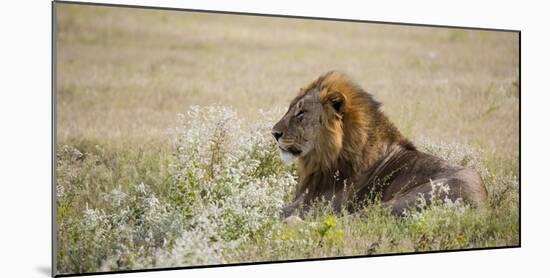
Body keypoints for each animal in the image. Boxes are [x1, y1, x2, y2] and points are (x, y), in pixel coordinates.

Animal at [274, 70, 490, 216]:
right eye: (290, 108)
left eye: (301, 112)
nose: (274, 133)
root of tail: (483, 202)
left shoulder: (322, 204)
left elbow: (278, 210)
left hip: (402, 200)